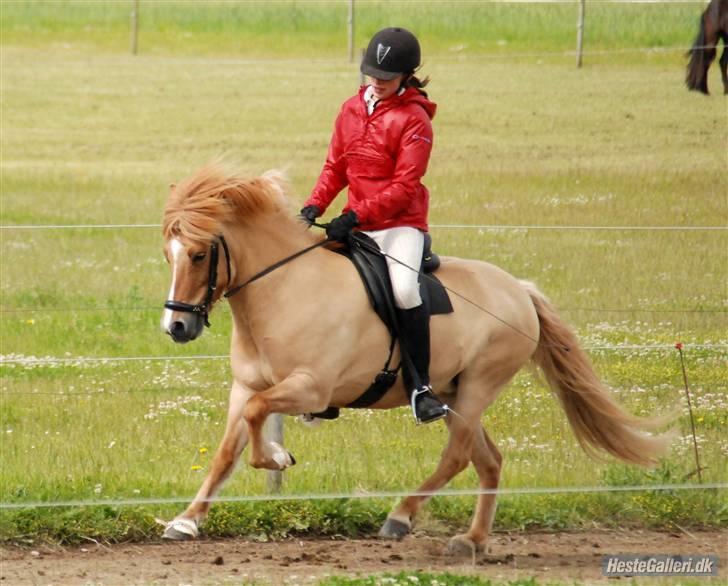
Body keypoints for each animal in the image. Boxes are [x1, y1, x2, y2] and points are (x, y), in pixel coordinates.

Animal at [159, 163, 672, 552]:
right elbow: (227, 450)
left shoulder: (311, 387)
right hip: (455, 392)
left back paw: (401, 516)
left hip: (479, 387)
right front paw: (187, 520)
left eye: (200, 255)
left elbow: (256, 417)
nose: (176, 328)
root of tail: (519, 290)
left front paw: (278, 457)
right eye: (169, 255)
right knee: (489, 460)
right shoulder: (245, 385)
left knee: (458, 457)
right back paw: (472, 540)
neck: (284, 288)